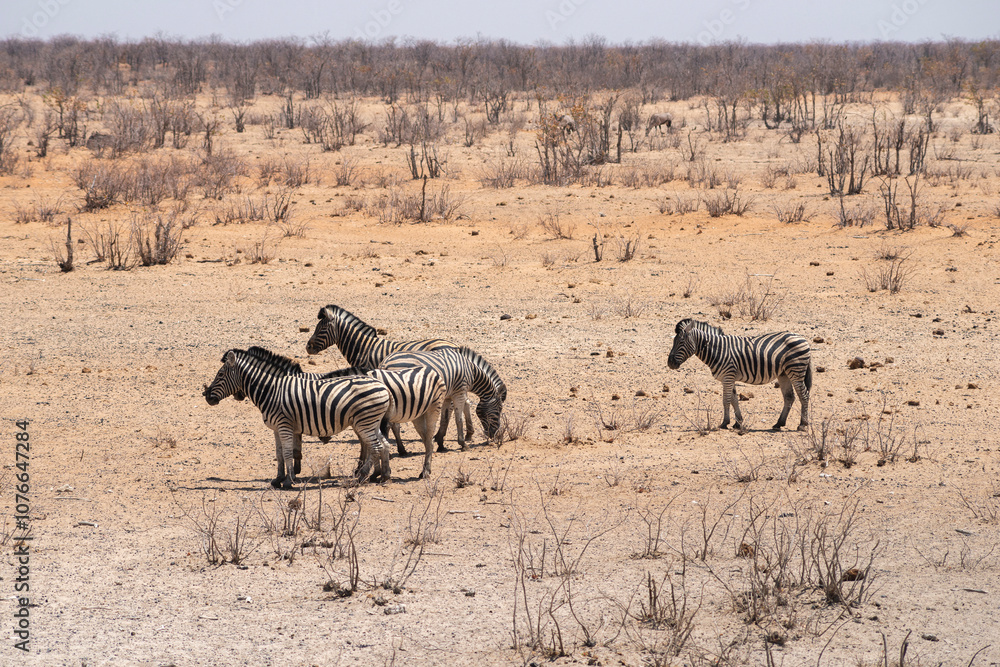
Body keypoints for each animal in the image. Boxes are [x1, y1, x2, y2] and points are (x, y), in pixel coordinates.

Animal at [202, 350, 394, 486]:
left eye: (220, 375)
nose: (207, 397)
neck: (271, 390)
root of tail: (383, 385)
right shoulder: (276, 428)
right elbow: (279, 454)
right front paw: (278, 479)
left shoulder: (284, 426)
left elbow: (288, 453)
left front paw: (289, 480)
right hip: (372, 422)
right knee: (384, 445)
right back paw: (383, 476)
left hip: (365, 422)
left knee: (376, 447)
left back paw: (362, 476)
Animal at [664, 320, 812, 434]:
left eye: (681, 342)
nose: (670, 363)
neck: (717, 350)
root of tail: (803, 338)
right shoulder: (730, 377)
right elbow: (734, 400)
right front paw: (738, 423)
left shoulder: (728, 376)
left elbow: (726, 400)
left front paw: (724, 423)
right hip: (784, 373)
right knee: (789, 397)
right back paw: (779, 423)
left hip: (796, 370)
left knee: (804, 395)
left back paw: (802, 425)